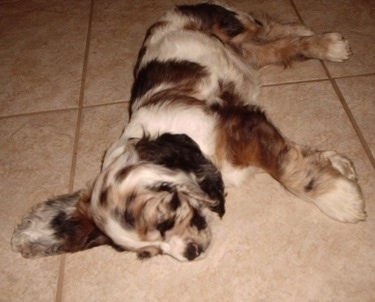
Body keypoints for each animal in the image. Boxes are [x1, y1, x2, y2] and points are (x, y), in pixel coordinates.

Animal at [11, 2, 368, 262]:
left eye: (165, 221)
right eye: (149, 254)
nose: (191, 254)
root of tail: (166, 12)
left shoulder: (241, 125)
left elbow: (290, 172)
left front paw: (342, 201)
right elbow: (300, 154)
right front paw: (339, 166)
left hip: (231, 22)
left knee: (268, 26)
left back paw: (326, 42)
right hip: (246, 51)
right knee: (278, 47)